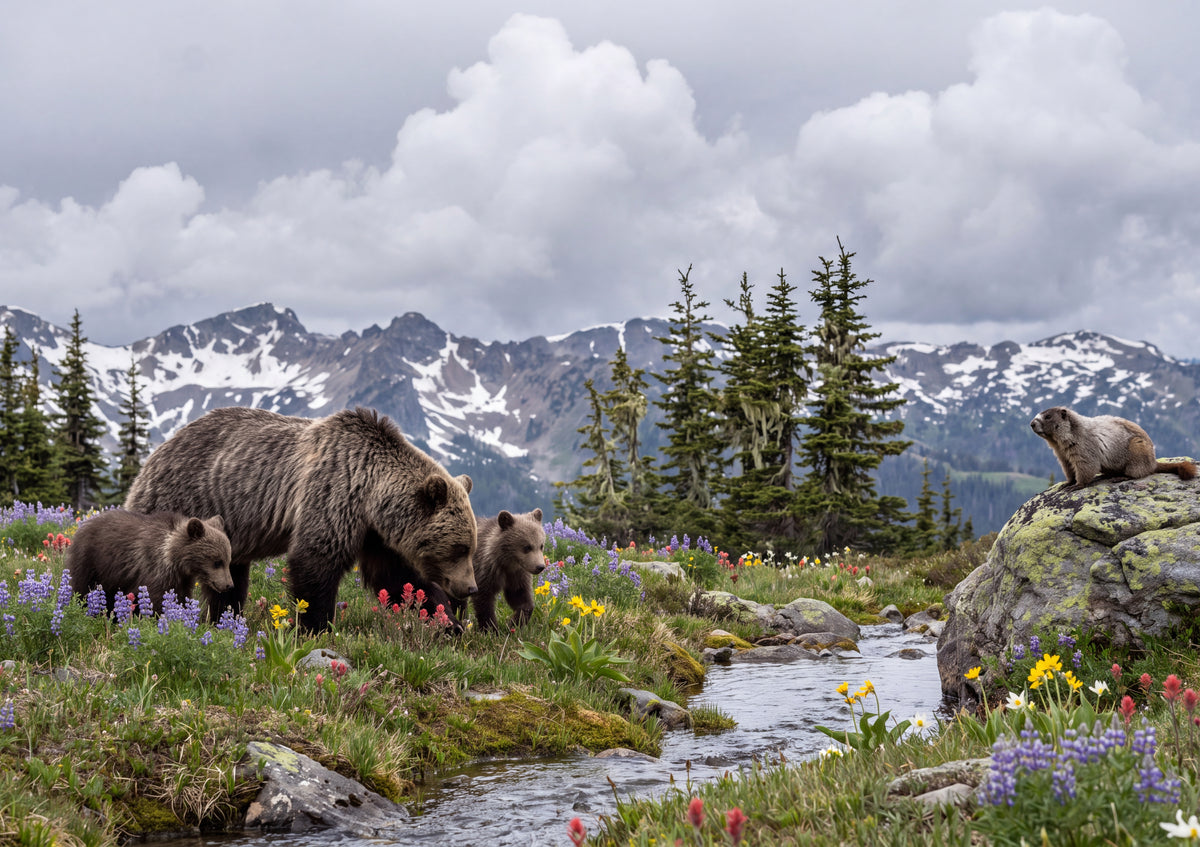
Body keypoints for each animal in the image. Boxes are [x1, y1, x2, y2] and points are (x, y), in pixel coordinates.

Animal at [66, 509, 233, 615]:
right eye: (217, 562)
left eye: (227, 561)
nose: (229, 585)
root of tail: (83, 525)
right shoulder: (155, 570)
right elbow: (157, 599)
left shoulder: (182, 579)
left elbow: (181, 597)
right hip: (91, 562)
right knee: (82, 587)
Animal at [124, 406, 477, 631]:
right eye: (460, 548)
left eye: (470, 547)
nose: (471, 587)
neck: (372, 496)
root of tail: (156, 452)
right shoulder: (333, 492)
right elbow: (316, 562)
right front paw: (315, 626)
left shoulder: (374, 534)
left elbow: (398, 577)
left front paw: (448, 623)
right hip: (182, 499)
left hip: (224, 533)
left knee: (228, 577)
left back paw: (223, 620)